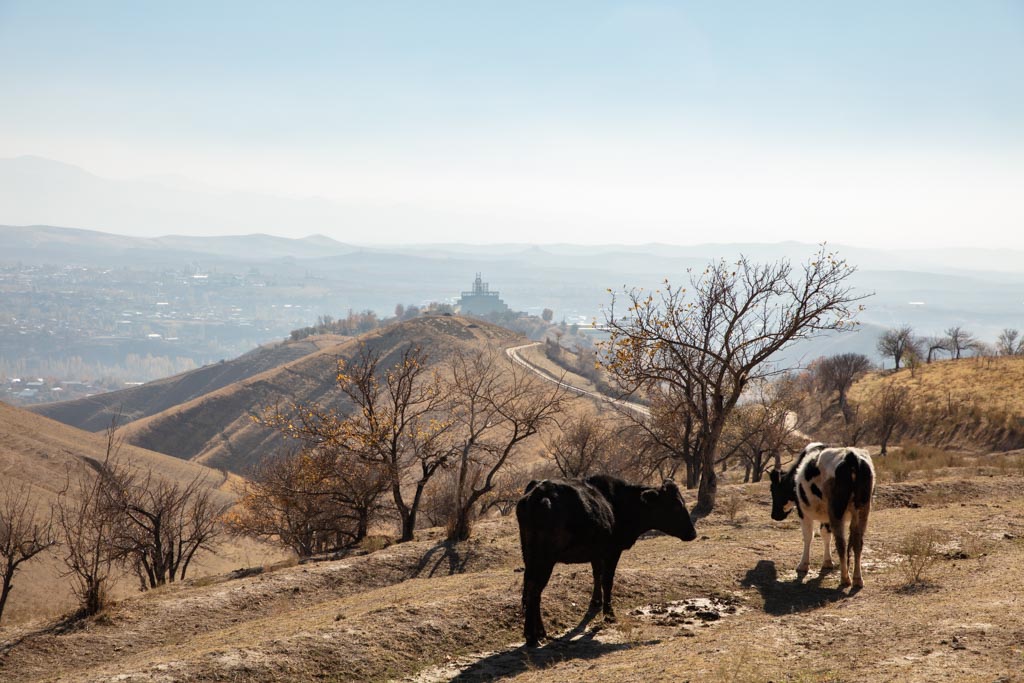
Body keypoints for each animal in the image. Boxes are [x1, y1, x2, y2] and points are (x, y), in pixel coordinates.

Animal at [512, 475, 696, 647]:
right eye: (676, 505)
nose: (693, 533)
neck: (619, 503)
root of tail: (539, 493)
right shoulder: (612, 551)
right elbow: (607, 580)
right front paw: (609, 614)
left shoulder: (596, 552)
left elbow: (597, 574)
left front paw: (596, 603)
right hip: (544, 560)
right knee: (534, 591)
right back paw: (532, 637)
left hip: (530, 558)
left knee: (530, 590)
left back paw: (539, 632)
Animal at [770, 444, 876, 589]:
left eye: (773, 490)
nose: (774, 515)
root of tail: (851, 457)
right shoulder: (826, 516)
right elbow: (826, 534)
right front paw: (827, 562)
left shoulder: (803, 512)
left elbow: (808, 536)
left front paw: (803, 564)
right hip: (863, 509)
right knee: (857, 542)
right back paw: (857, 579)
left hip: (836, 510)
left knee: (841, 543)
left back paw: (845, 578)